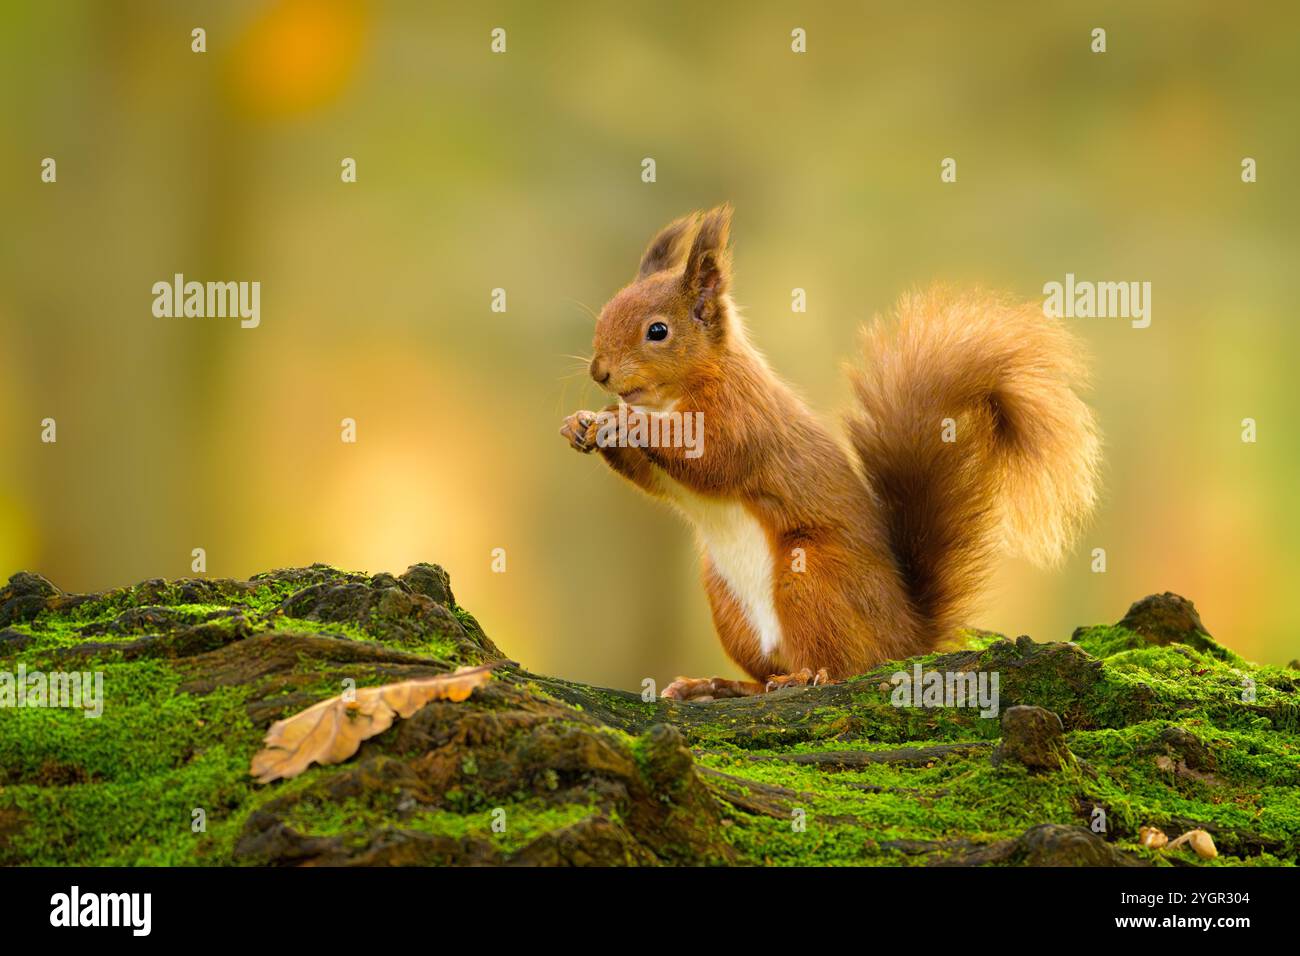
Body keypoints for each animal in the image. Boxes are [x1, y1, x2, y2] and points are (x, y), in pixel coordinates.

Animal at [559, 205, 1097, 702]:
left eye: (657, 331)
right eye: (606, 312)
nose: (600, 372)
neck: (672, 396)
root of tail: (906, 638)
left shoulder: (743, 417)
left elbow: (712, 458)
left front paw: (625, 423)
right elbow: (654, 479)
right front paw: (582, 424)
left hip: (811, 576)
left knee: (839, 666)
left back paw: (803, 675)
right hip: (727, 600)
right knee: (764, 677)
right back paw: (716, 686)